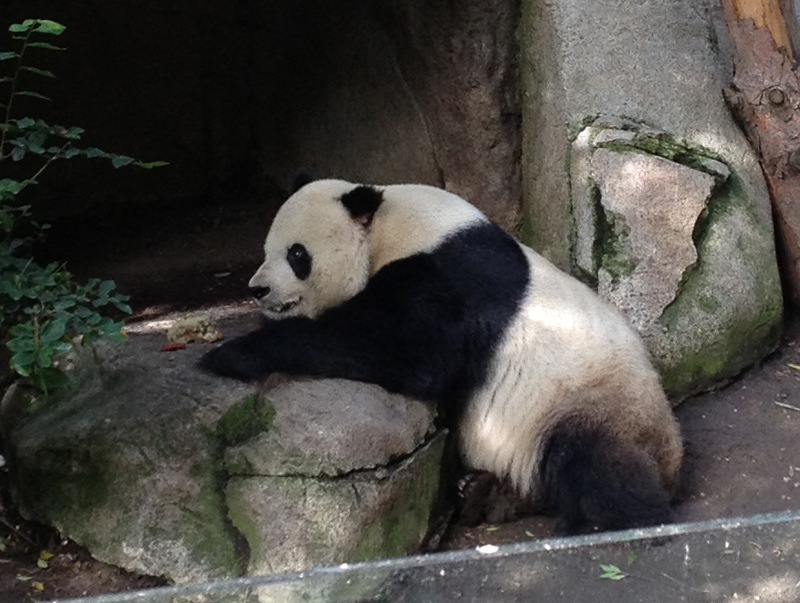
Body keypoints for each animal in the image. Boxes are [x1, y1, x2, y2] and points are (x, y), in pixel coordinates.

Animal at [200, 175, 683, 535]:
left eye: (297, 254)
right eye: (266, 249)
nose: (258, 290)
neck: (392, 225)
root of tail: (672, 457)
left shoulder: (444, 278)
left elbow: (407, 353)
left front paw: (231, 354)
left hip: (588, 399)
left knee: (593, 458)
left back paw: (609, 520)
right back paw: (482, 495)